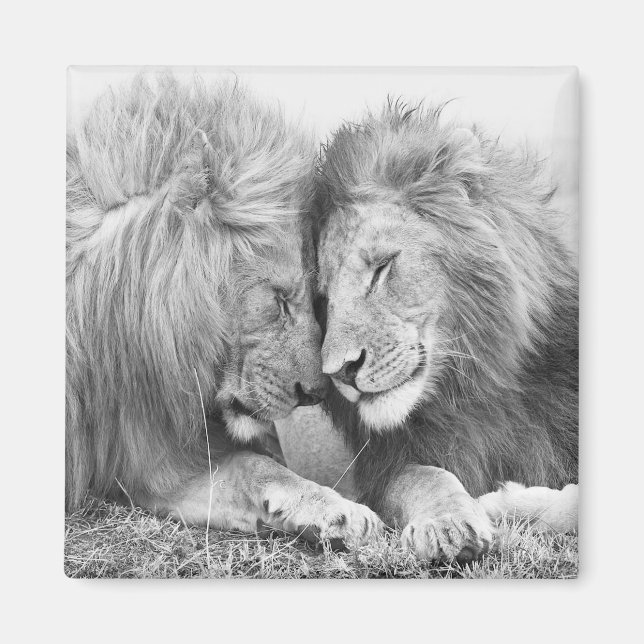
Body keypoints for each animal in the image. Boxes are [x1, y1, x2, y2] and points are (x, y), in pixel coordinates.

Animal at [313, 101, 578, 562]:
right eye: (323, 299)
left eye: (382, 268)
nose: (340, 372)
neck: (475, 390)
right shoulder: (386, 464)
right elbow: (424, 476)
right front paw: (449, 525)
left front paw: (505, 503)